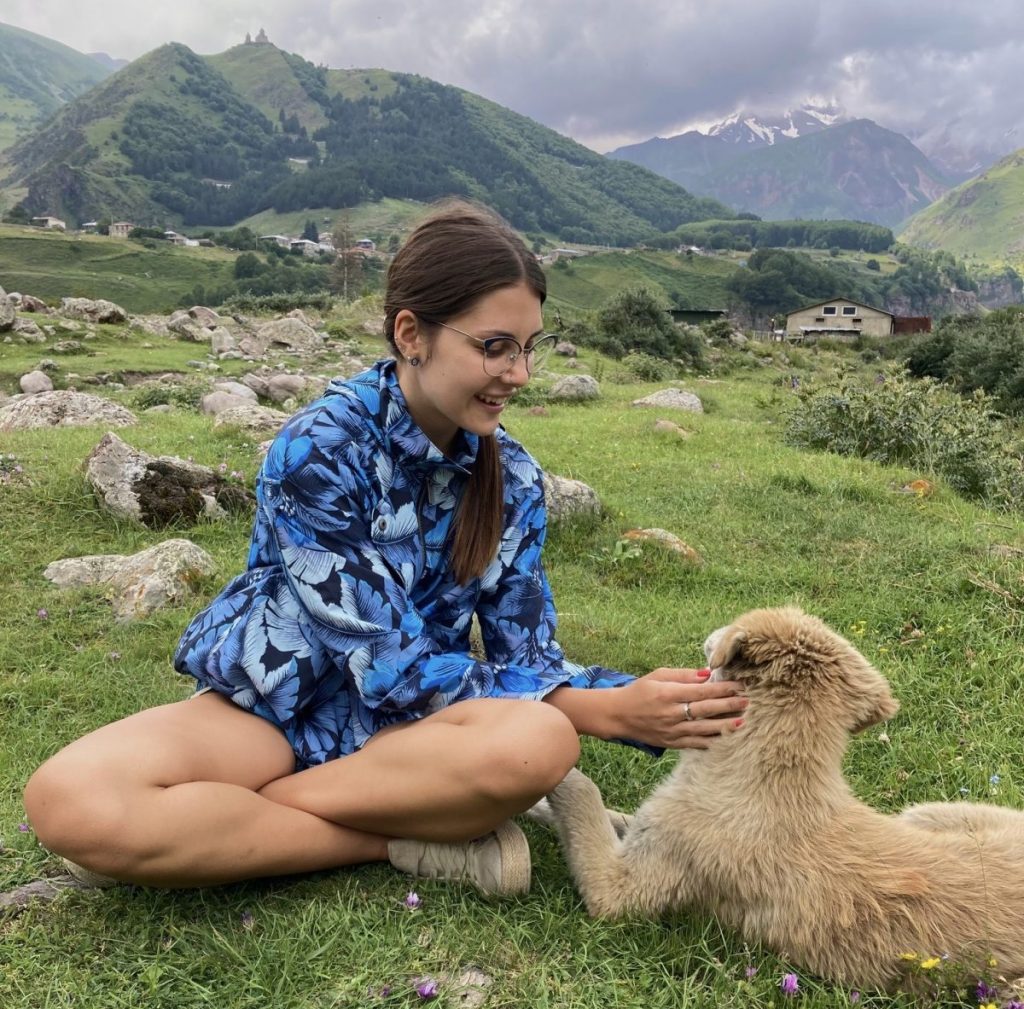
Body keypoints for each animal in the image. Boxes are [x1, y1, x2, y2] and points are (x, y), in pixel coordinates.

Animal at [536, 606, 1024, 983]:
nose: (710, 635)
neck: (766, 775)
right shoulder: (650, 829)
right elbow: (616, 814)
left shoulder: (620, 889)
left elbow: (584, 797)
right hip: (927, 814)